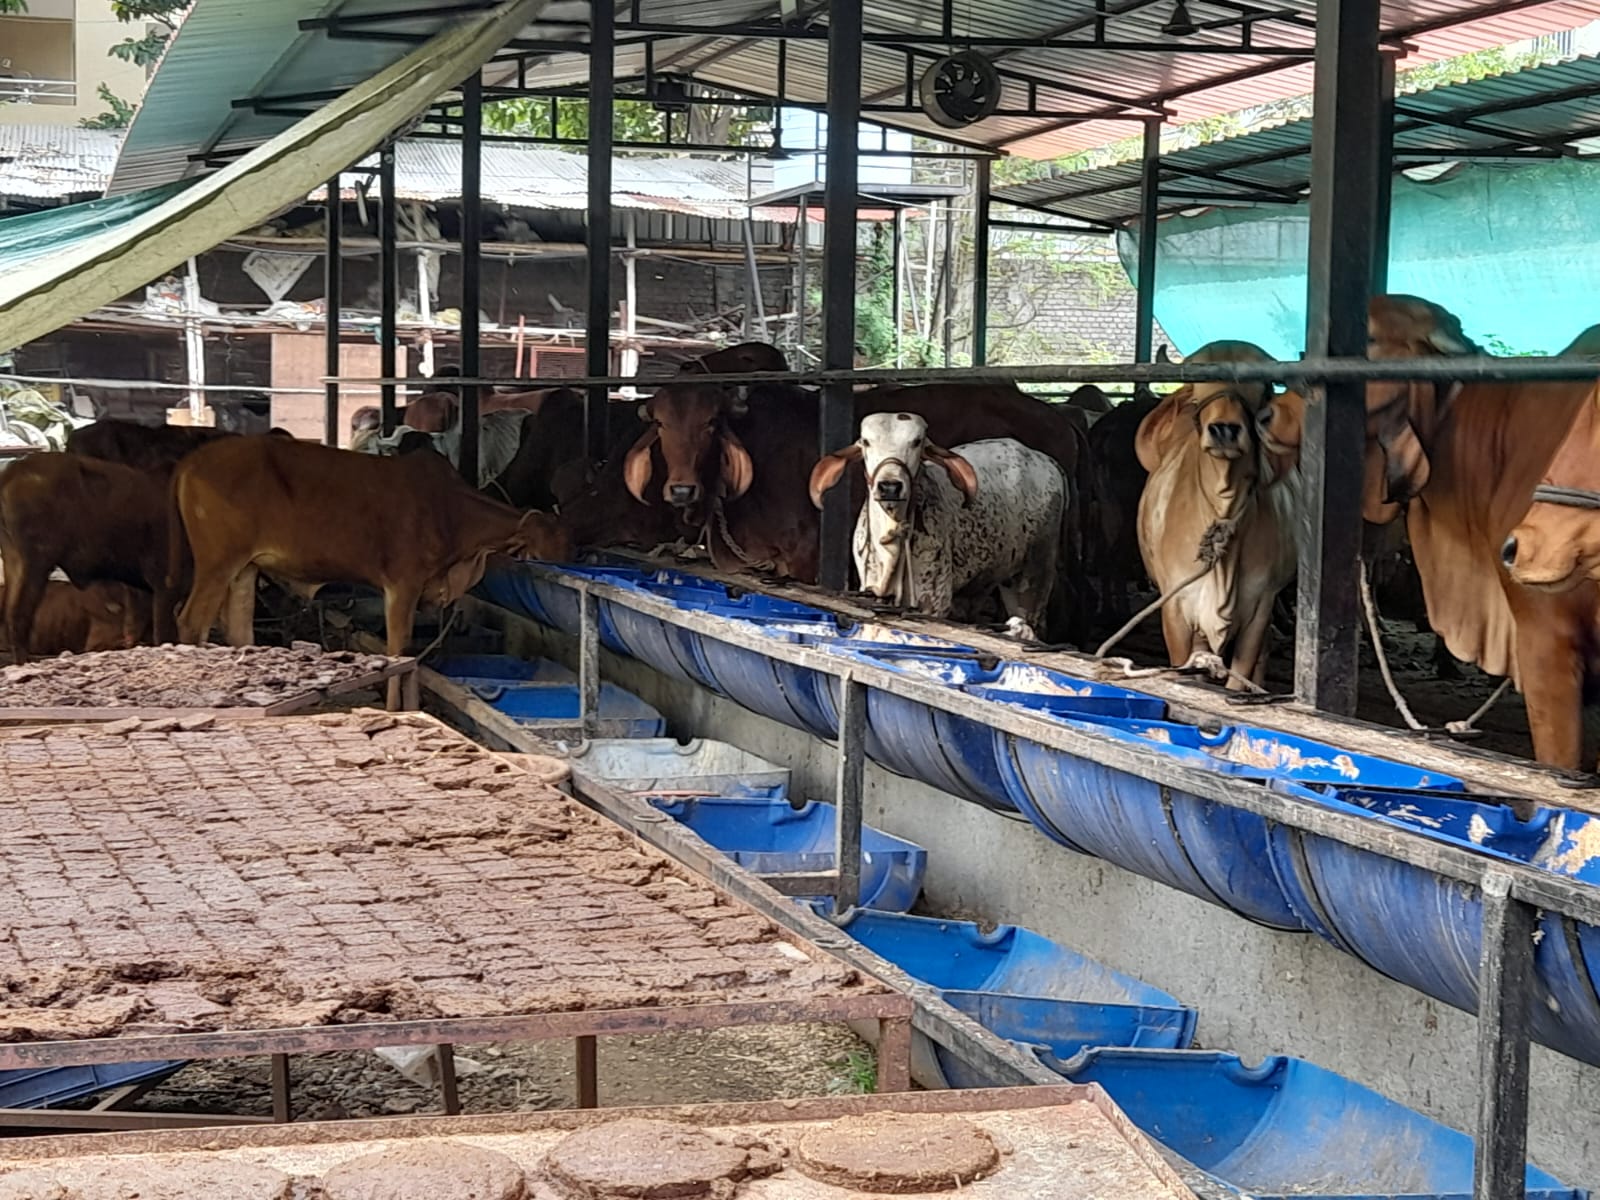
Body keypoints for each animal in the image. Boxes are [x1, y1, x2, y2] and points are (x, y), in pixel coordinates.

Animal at [171, 436, 571, 705]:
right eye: (550, 544)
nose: (568, 561)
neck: (451, 511)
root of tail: (189, 463)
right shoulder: (403, 585)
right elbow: (398, 652)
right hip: (217, 564)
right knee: (191, 622)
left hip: (244, 569)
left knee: (239, 630)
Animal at [808, 413, 1064, 639]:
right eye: (866, 442)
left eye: (917, 441)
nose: (889, 486)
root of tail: (1046, 461)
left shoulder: (933, 601)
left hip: (1034, 575)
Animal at [1135, 342, 1305, 689]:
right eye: (1197, 390)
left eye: (1262, 388)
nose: (1224, 429)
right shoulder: (1175, 605)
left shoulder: (1260, 606)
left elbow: (1242, 671)